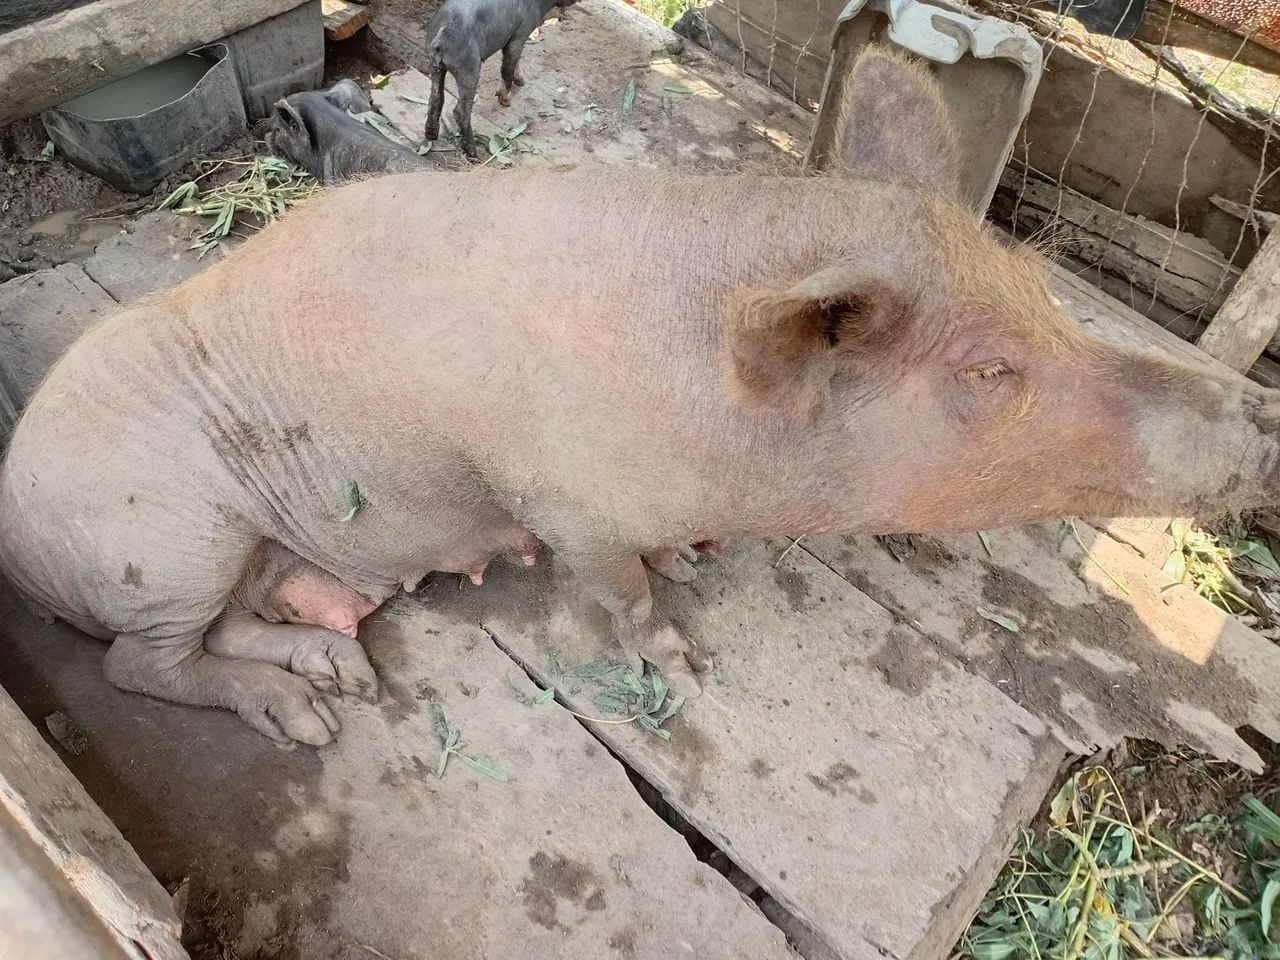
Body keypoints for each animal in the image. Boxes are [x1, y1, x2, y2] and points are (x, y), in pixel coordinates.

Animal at [423, 0, 581, 158]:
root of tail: (442, 33)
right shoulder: (519, 33)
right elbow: (509, 65)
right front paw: (506, 102)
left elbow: (515, 61)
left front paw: (521, 82)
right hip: (469, 68)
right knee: (460, 111)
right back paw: (474, 154)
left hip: (435, 64)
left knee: (436, 97)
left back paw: (431, 135)